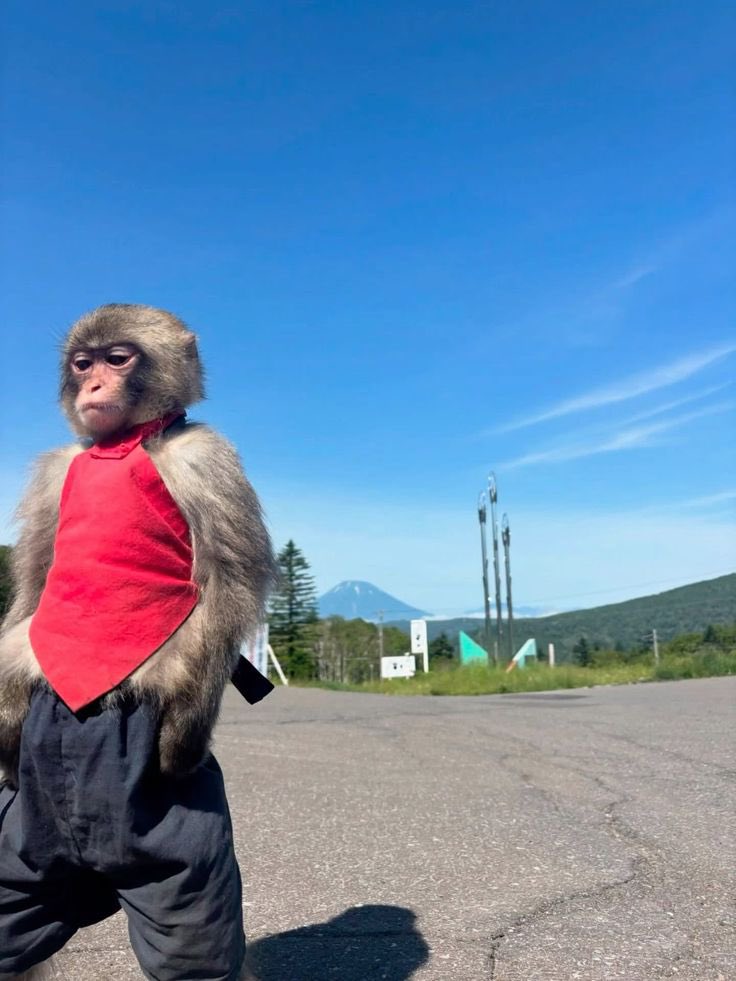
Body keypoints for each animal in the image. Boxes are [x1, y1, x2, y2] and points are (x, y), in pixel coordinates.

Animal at [0, 304, 276, 981]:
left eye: (117, 359)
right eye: (83, 363)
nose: (95, 385)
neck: (123, 447)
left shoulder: (206, 456)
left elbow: (228, 583)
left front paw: (185, 739)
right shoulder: (54, 474)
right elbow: (37, 581)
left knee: (190, 933)